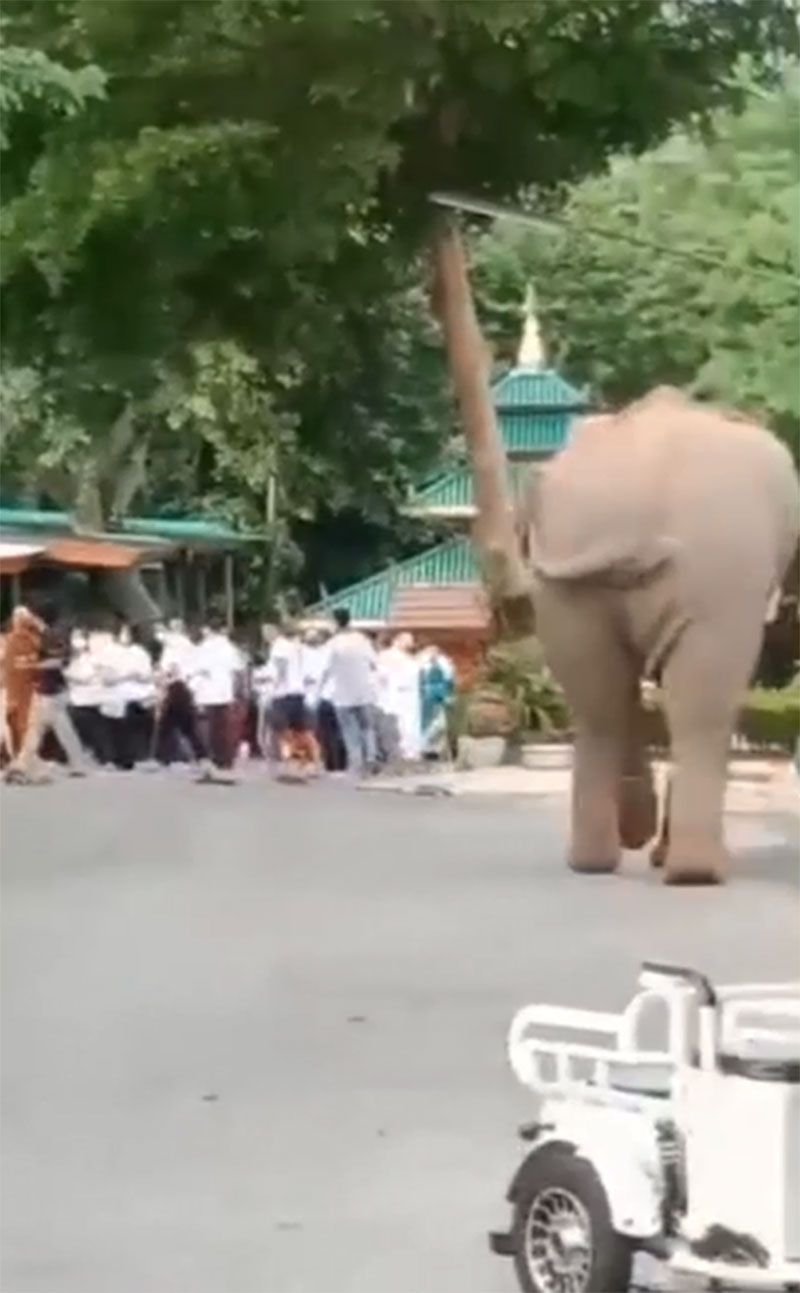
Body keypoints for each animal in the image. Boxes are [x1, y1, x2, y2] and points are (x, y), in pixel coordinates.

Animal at [521, 387, 799, 885]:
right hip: (721, 570)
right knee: (697, 709)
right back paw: (695, 870)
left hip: (567, 581)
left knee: (600, 706)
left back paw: (600, 863)